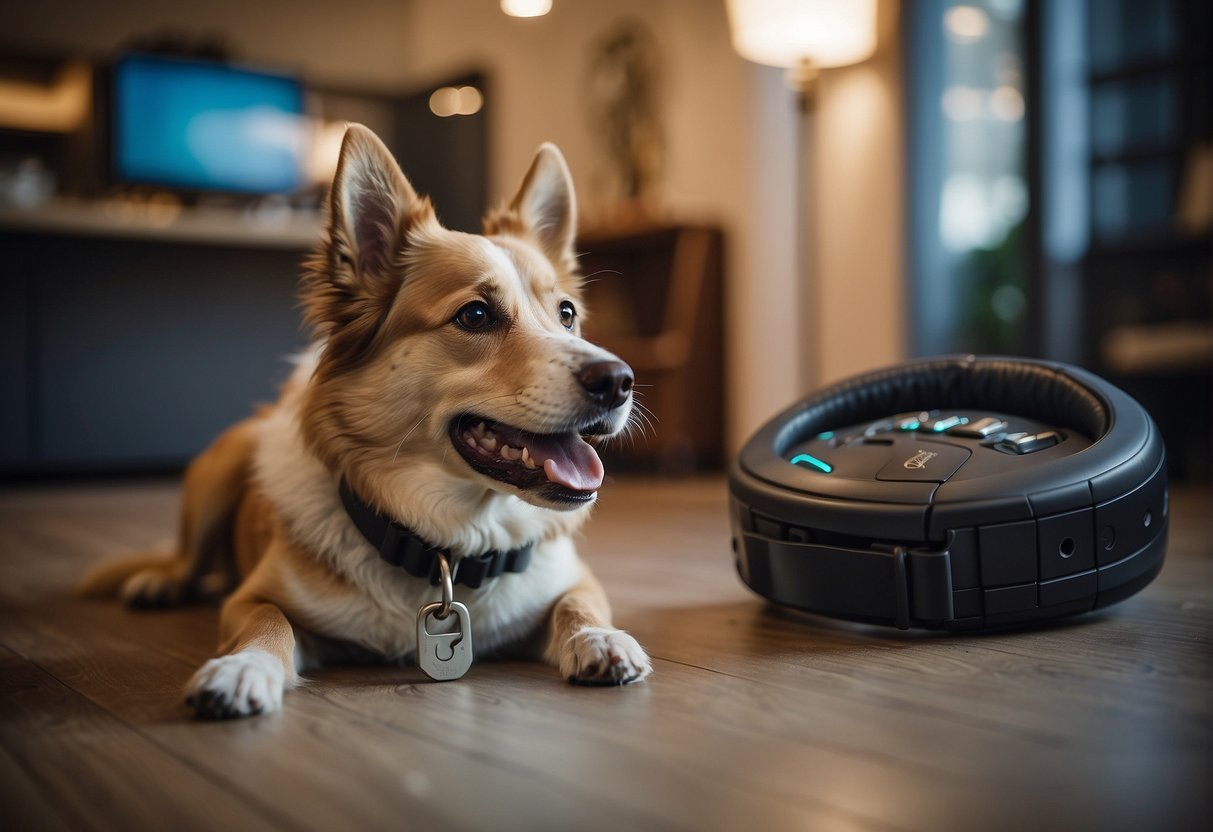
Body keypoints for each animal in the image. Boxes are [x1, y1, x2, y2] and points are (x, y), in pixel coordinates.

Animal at [79, 122, 655, 717]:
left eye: (567, 315)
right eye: (475, 314)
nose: (619, 380)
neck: (446, 544)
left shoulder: (574, 581)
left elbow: (578, 606)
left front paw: (599, 638)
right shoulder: (252, 597)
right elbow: (266, 623)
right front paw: (242, 668)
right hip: (220, 472)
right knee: (186, 560)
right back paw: (159, 582)